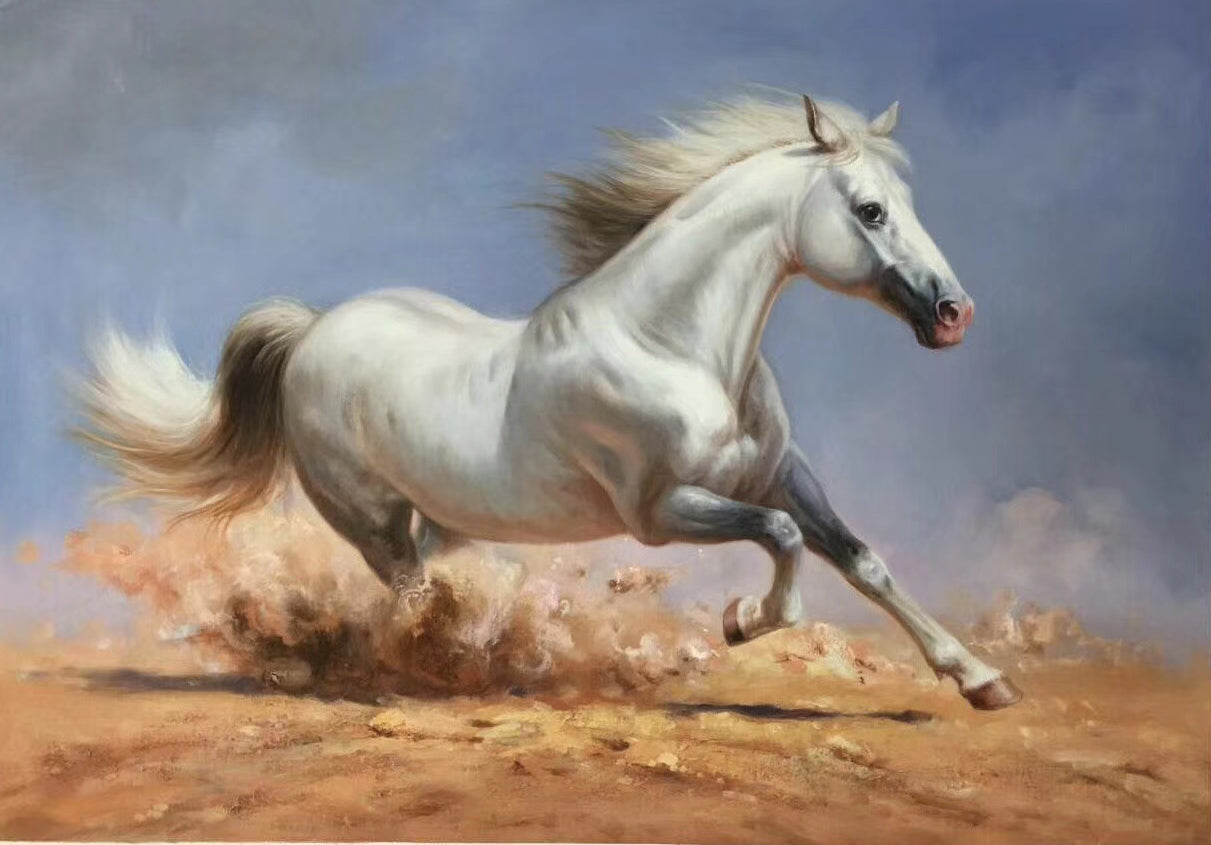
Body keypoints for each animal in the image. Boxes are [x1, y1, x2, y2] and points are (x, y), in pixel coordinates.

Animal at [76, 94, 1022, 710]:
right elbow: (785, 546)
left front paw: (980, 680)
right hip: (371, 520)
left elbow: (861, 560)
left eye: (903, 203)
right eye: (869, 210)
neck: (670, 344)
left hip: (437, 519)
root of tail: (312, 329)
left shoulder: (778, 473)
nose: (954, 313)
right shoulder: (660, 510)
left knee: (420, 596)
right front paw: (740, 621)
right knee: (410, 600)